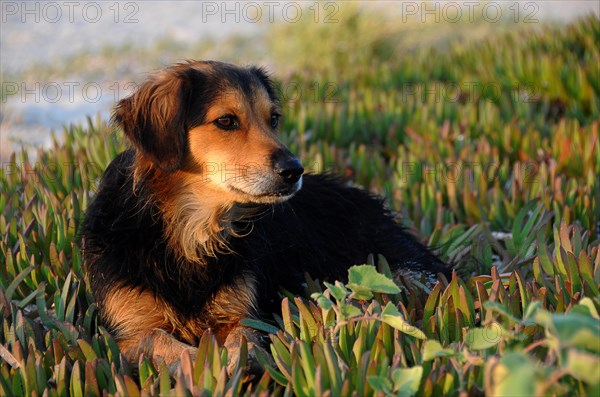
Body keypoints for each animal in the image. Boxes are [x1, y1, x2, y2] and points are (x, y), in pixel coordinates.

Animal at [81, 60, 450, 372]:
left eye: (273, 119)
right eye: (226, 121)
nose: (294, 170)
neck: (188, 231)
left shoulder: (242, 316)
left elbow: (242, 341)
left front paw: (236, 366)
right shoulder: (131, 334)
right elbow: (166, 344)